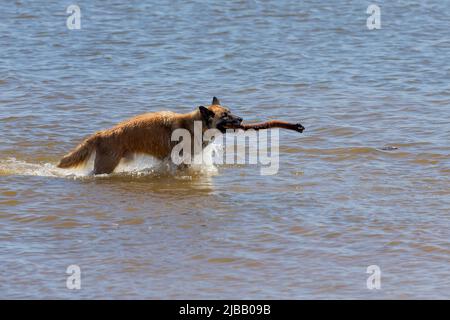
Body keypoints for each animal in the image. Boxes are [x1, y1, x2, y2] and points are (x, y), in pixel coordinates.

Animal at [59, 97, 244, 175]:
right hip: (106, 166)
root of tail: (102, 134)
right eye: (225, 115)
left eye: (230, 111)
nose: (241, 119)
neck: (193, 125)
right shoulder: (181, 162)